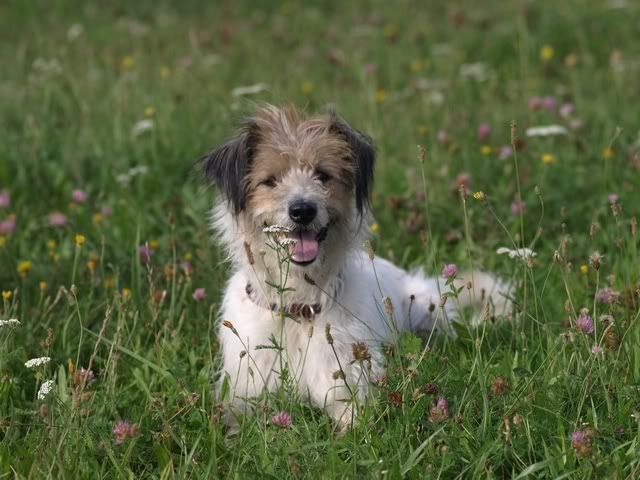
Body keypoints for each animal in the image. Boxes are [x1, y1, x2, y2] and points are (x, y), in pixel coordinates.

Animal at [201, 105, 509, 430]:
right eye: (271, 181)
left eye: (322, 175)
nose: (302, 210)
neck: (298, 306)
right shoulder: (243, 394)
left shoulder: (350, 391)